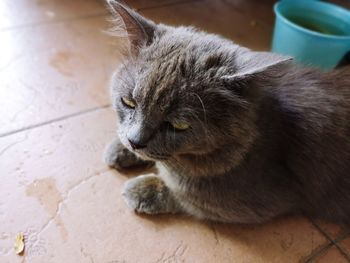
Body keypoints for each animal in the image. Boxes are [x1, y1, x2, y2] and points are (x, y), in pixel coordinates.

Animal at [103, 1, 350, 226]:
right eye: (128, 102)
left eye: (179, 125)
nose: (135, 141)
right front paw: (119, 148)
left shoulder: (260, 202)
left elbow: (187, 198)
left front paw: (144, 190)